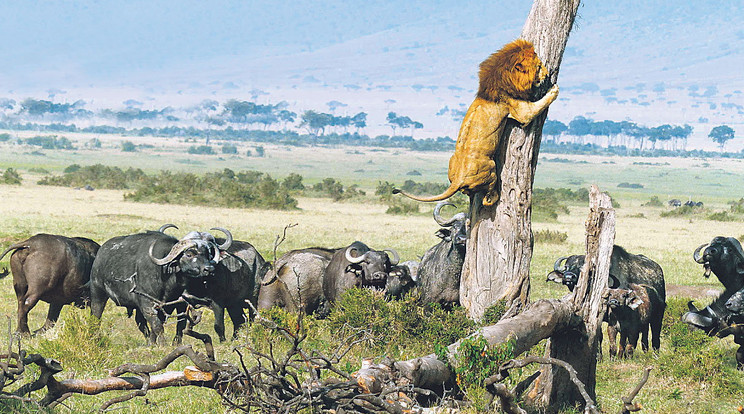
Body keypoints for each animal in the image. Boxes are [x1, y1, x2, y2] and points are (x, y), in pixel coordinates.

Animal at [90, 228, 231, 344]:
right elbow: (158, 326)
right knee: (96, 316)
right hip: (98, 293)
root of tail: (100, 253)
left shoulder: (171, 305)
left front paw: (155, 344)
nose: (209, 269)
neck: (166, 277)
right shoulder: (147, 304)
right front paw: (163, 344)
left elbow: (161, 326)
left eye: (208, 254)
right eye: (189, 254)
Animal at [396, 38, 560, 205]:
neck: (502, 78)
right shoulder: (520, 110)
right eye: (539, 67)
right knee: (488, 196)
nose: (547, 74)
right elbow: (540, 104)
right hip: (490, 167)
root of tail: (458, 178)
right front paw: (553, 89)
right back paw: (494, 196)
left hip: (452, 163)